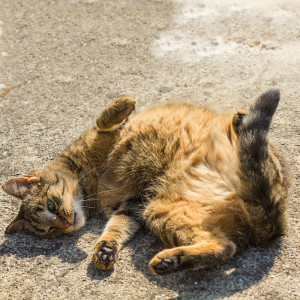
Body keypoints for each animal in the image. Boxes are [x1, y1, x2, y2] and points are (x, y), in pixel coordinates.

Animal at [1, 89, 290, 276]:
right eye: (48, 231)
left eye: (50, 205)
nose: (65, 224)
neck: (90, 183)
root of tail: (269, 226)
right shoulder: (134, 205)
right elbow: (117, 228)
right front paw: (105, 251)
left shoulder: (110, 139)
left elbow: (103, 118)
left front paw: (123, 103)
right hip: (162, 210)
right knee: (225, 247)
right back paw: (170, 262)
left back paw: (239, 120)